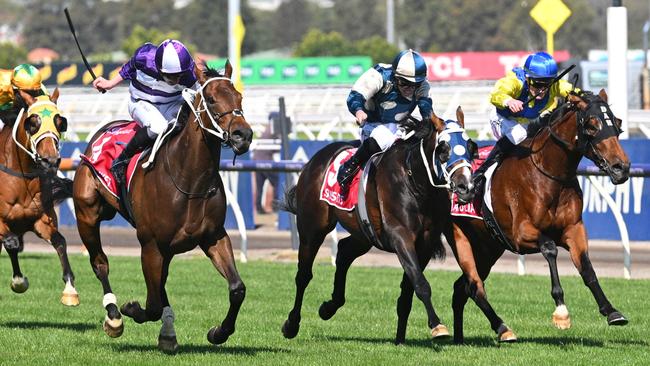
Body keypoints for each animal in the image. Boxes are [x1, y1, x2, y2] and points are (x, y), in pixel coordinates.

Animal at [0, 89, 77, 306]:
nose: (50, 160)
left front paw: (70, 290)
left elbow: (60, 241)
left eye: (60, 122)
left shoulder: (41, 220)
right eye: (32, 122)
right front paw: (19, 281)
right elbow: (12, 243)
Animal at [71, 61, 252, 354]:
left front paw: (218, 332)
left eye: (239, 97)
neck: (189, 178)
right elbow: (153, 304)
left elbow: (237, 288)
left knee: (160, 284)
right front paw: (131, 309)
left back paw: (167, 333)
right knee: (100, 263)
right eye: (211, 99)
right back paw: (114, 317)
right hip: (87, 215)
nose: (242, 135)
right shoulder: (150, 243)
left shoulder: (213, 236)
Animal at [280, 109, 476, 346]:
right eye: (443, 149)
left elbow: (409, 288)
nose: (466, 187)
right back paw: (291, 325)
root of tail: (314, 161)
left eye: (471, 147)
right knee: (304, 274)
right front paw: (437, 326)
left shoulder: (425, 243)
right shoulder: (401, 237)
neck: (415, 183)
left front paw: (400, 339)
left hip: (364, 234)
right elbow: (420, 283)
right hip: (312, 228)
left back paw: (329, 307)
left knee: (344, 252)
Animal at [446, 89, 628, 344]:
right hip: (461, 238)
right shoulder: (520, 235)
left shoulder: (573, 229)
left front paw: (611, 311)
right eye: (592, 125)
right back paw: (502, 329)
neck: (548, 175)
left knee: (460, 289)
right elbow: (550, 248)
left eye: (617, 123)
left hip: (487, 247)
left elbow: (587, 268)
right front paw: (561, 311)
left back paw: (460, 338)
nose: (622, 167)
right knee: (473, 286)